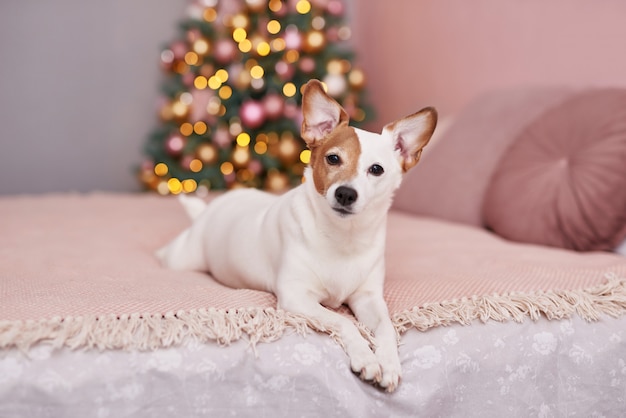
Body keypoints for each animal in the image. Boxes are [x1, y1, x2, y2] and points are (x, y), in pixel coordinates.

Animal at [158, 80, 436, 394]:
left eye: (376, 169)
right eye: (333, 158)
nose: (345, 193)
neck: (343, 238)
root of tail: (213, 207)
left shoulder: (368, 299)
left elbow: (387, 327)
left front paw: (388, 363)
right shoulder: (297, 297)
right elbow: (344, 323)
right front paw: (366, 357)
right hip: (182, 258)